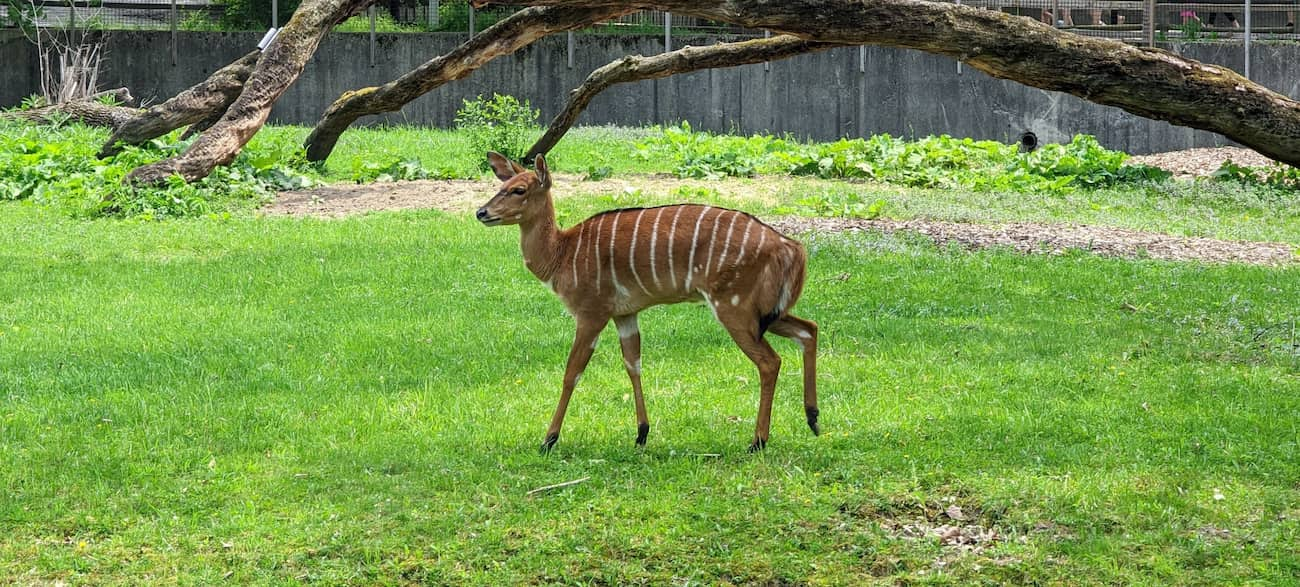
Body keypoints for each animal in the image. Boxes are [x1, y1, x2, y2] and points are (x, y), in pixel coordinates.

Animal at [478, 152, 821, 454]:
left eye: (519, 189)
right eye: (502, 184)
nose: (481, 212)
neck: (562, 253)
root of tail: (791, 248)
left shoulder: (591, 313)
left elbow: (571, 373)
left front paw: (549, 439)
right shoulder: (625, 315)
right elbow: (633, 364)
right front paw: (641, 434)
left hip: (733, 307)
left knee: (770, 361)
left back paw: (758, 441)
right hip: (764, 312)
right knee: (809, 329)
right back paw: (813, 418)